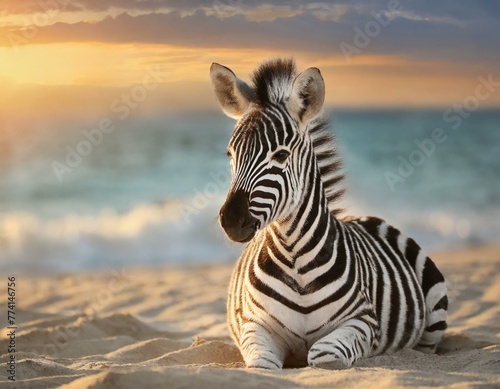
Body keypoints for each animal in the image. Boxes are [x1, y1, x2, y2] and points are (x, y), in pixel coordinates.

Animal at [208, 56, 450, 366]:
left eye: (281, 155)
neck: (295, 258)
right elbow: (262, 363)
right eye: (231, 154)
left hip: (433, 309)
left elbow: (325, 355)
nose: (231, 220)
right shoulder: (254, 323)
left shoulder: (361, 321)